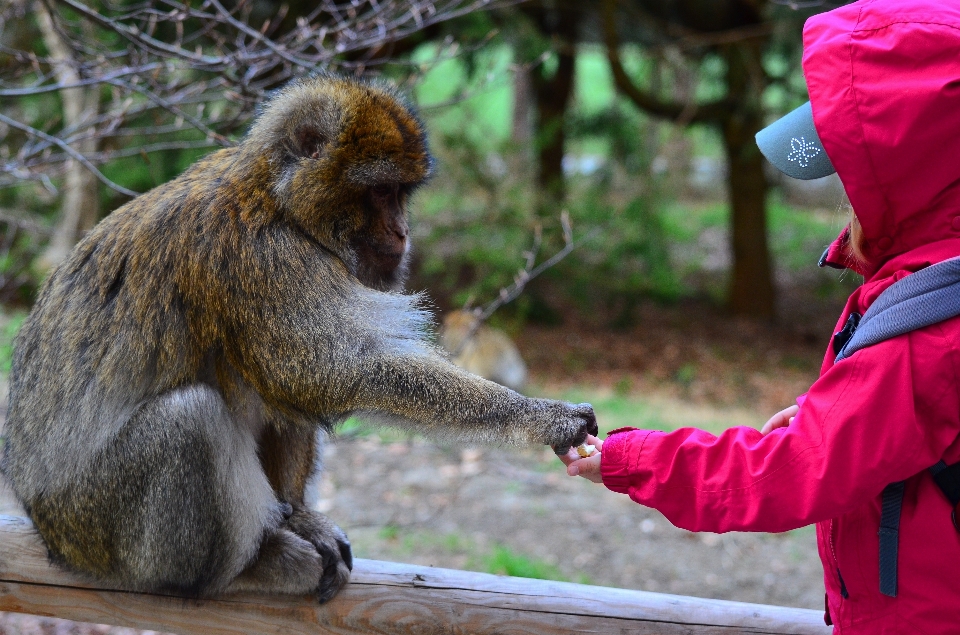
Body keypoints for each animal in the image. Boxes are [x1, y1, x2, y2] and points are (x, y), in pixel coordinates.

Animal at [0, 74, 596, 600]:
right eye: (381, 192)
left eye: (403, 193)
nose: (403, 233)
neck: (276, 200)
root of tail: (42, 520)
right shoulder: (259, 258)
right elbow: (326, 372)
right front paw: (541, 416)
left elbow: (301, 388)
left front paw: (302, 517)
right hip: (93, 524)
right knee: (191, 419)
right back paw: (235, 571)